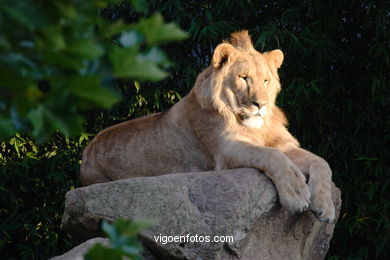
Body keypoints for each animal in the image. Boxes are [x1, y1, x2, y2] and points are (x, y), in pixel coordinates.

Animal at [81, 31, 336, 223]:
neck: (255, 125)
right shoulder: (226, 151)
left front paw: (326, 208)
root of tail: (87, 151)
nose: (260, 105)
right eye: (244, 78)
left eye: (266, 81)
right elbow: (271, 156)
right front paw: (297, 193)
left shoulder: (284, 145)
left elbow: (322, 162)